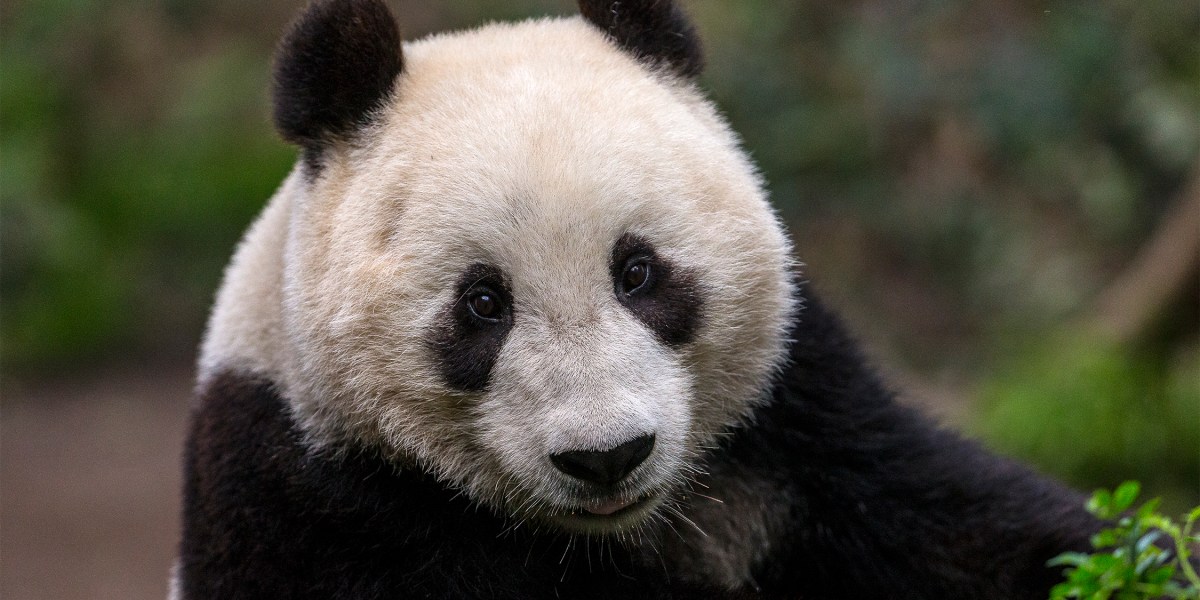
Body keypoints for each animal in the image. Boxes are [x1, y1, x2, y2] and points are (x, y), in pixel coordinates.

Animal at [176, 0, 1100, 598]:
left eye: (638, 272)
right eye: (483, 304)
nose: (607, 457)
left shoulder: (803, 423)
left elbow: (969, 530)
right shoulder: (304, 497)